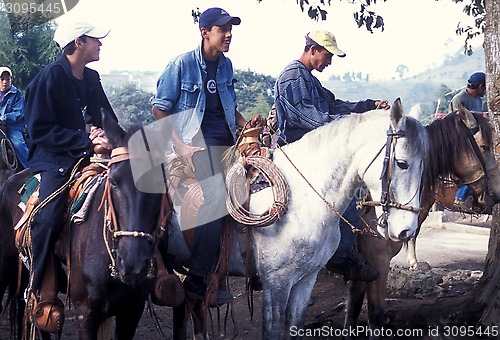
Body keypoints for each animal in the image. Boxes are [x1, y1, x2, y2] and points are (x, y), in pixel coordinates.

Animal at [248, 98, 428, 338]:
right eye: (401, 163)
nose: (407, 229)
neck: (300, 197)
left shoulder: (306, 278)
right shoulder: (276, 283)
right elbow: (374, 314)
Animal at [342, 105, 500, 338]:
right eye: (485, 147)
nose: (496, 194)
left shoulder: (363, 266)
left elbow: (352, 311)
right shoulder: (377, 259)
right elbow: (375, 316)